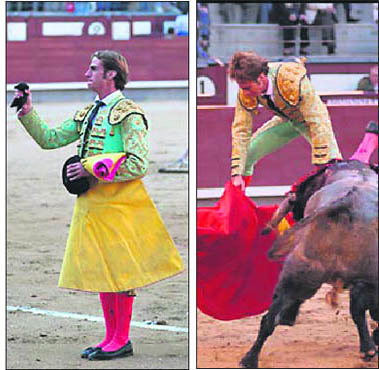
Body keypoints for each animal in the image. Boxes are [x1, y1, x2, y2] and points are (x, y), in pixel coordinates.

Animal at [242, 160, 378, 368]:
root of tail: (347, 203)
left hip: (301, 272)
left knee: (270, 317)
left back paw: (250, 358)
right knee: (359, 307)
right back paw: (368, 348)